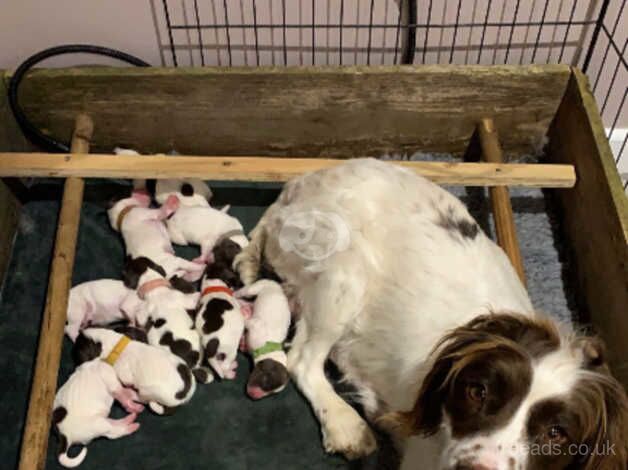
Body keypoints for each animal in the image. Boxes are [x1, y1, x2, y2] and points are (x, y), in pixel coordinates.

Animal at [236, 160, 628, 468]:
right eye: (477, 392)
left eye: (556, 433)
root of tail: (298, 185)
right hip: (344, 272)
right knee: (302, 358)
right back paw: (347, 424)